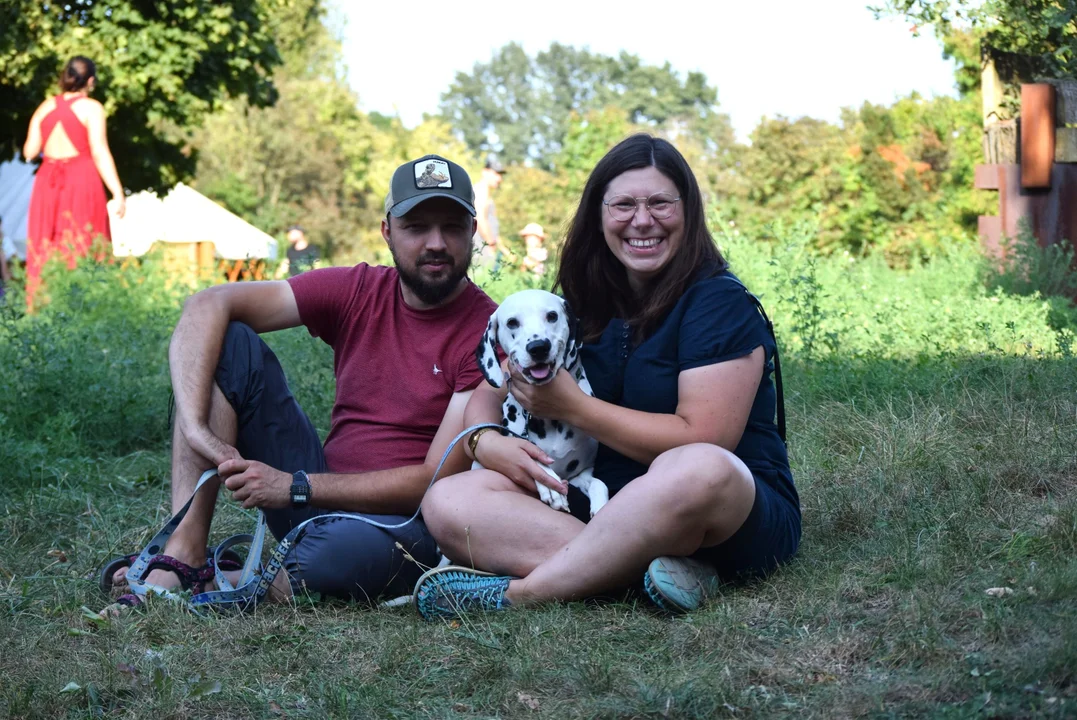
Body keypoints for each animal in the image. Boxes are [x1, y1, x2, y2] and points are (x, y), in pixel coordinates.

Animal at [478, 288, 611, 516]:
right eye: (512, 322)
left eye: (552, 316)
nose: (538, 347)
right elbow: (533, 456)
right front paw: (551, 487)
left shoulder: (580, 474)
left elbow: (598, 483)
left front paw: (601, 507)